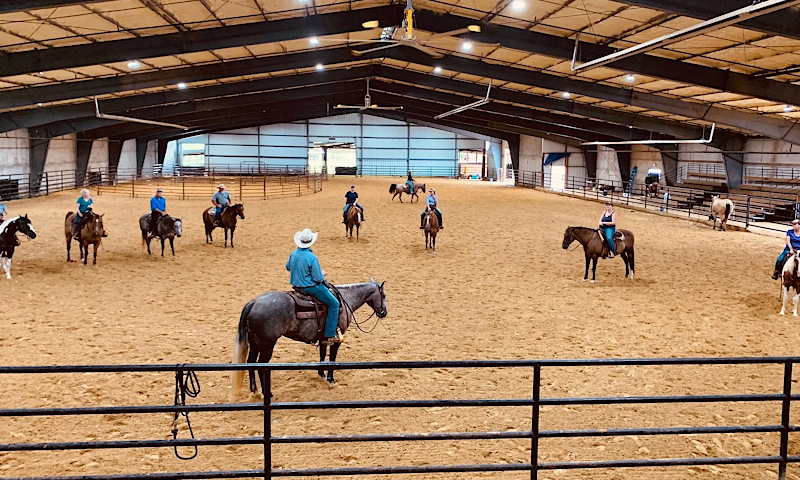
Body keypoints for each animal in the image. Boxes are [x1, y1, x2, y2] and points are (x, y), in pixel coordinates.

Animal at [231, 280, 388, 396]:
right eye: (384, 295)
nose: (384, 312)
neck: (345, 299)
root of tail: (253, 303)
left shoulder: (324, 338)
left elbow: (323, 355)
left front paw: (322, 375)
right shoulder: (338, 338)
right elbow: (332, 358)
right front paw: (331, 380)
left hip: (255, 343)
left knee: (251, 362)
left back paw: (255, 390)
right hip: (267, 346)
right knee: (261, 366)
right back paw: (267, 393)